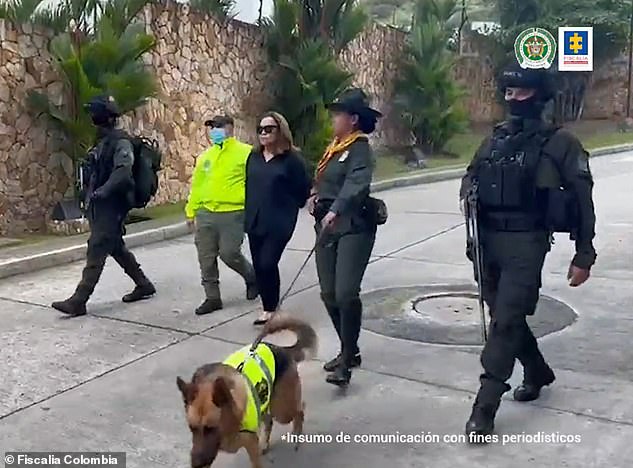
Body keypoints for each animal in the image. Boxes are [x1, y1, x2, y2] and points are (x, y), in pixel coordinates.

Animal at [177, 314, 316, 468]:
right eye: (192, 428)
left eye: (210, 428)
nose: (195, 464)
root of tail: (282, 349)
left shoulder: (250, 444)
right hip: (265, 405)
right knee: (270, 420)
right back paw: (265, 444)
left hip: (282, 411)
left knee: (300, 409)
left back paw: (297, 434)